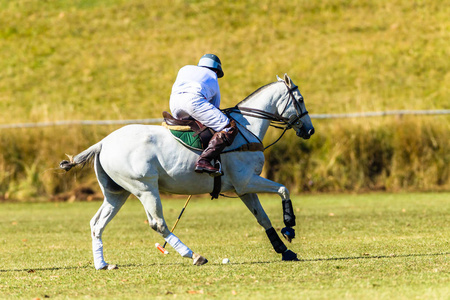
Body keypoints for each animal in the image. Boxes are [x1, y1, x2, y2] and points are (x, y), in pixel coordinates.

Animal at [59, 74, 314, 270]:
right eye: (300, 100)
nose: (310, 130)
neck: (247, 128)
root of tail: (102, 143)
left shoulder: (243, 188)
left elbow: (262, 218)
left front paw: (285, 250)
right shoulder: (247, 181)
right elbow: (283, 189)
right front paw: (289, 225)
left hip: (117, 192)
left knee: (97, 223)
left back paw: (102, 264)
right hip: (145, 188)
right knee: (158, 223)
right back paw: (194, 255)